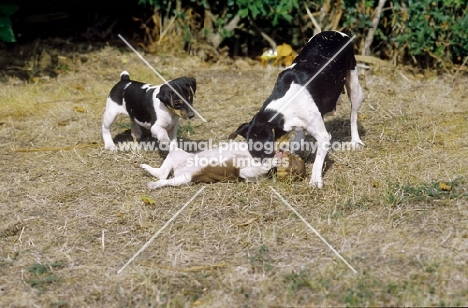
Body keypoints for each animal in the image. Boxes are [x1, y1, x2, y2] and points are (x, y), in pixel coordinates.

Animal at [141, 143, 306, 190]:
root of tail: (179, 170)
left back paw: (153, 185)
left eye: (293, 164)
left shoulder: (246, 173)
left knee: (165, 180)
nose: (288, 151)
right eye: (295, 156)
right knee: (162, 172)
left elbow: (263, 167)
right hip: (177, 154)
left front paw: (273, 162)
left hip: (184, 178)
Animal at [232, 30, 364, 188]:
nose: (265, 174)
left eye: (266, 152)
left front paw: (315, 180)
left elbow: (318, 159)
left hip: (355, 88)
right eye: (254, 155)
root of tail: (338, 33)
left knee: (353, 115)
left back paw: (355, 141)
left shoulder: (323, 137)